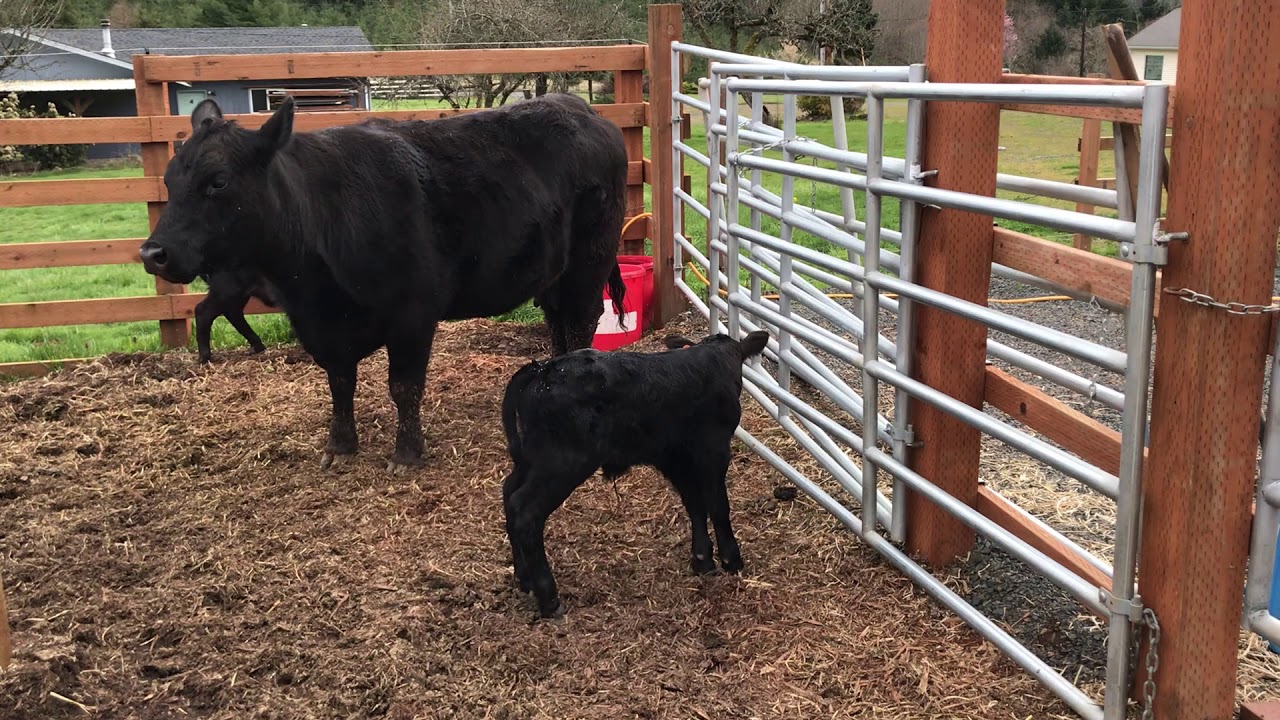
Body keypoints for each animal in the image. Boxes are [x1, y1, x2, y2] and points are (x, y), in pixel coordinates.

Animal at [138, 93, 628, 472]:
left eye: (218, 182)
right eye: (170, 180)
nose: (151, 253)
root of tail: (583, 109)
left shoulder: (413, 314)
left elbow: (403, 386)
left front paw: (406, 454)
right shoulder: (321, 326)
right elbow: (339, 383)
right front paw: (340, 446)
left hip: (590, 258)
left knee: (581, 320)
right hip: (554, 270)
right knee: (558, 321)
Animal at [499, 329, 770, 618]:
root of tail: (541, 369)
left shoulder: (674, 459)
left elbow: (695, 505)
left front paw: (702, 559)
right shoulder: (714, 450)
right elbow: (718, 506)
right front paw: (731, 558)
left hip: (531, 460)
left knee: (509, 494)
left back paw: (523, 578)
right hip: (562, 463)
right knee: (526, 511)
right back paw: (549, 598)